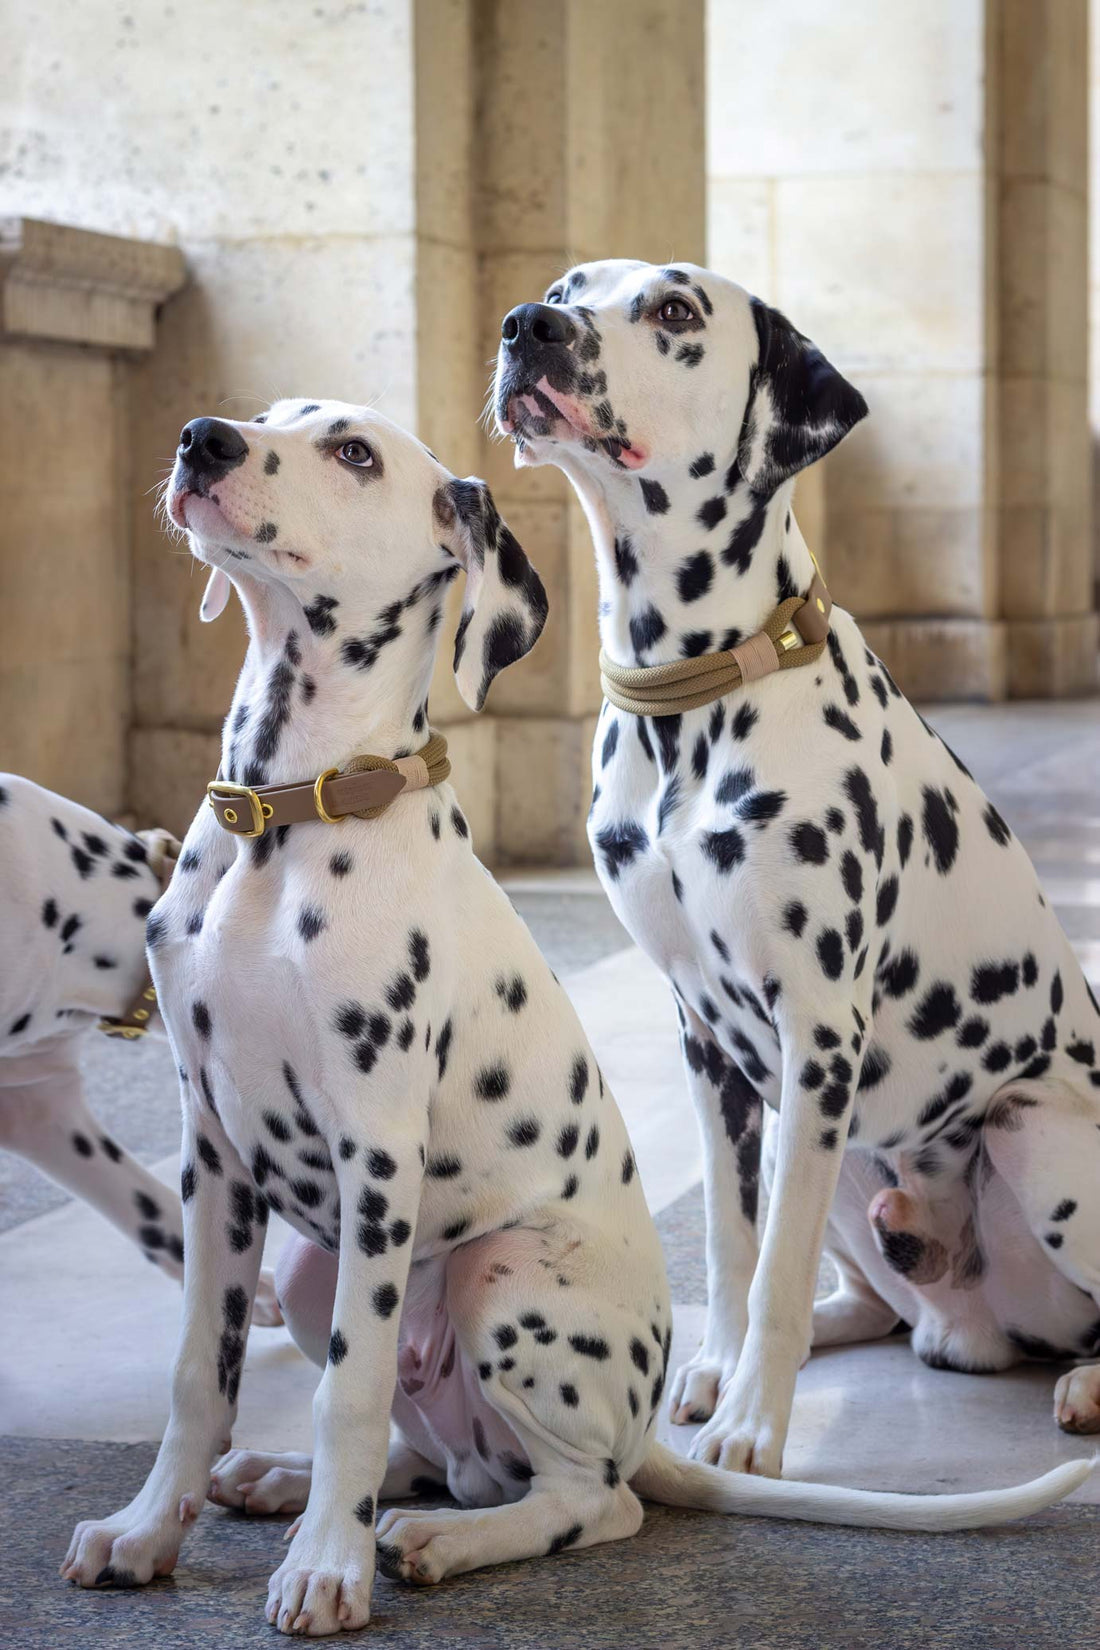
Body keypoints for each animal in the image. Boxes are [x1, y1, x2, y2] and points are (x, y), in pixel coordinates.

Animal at [58, 399, 1081, 1636]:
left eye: (353, 453)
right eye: (261, 418)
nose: (201, 438)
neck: (288, 818)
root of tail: (643, 1436)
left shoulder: (374, 1153)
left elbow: (347, 1386)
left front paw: (325, 1572)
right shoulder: (211, 1152)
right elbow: (196, 1380)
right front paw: (146, 1531)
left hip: (501, 1277)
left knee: (584, 1501)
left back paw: (432, 1539)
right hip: (310, 1264)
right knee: (439, 1456)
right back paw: (291, 1483)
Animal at [494, 264, 1100, 1478]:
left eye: (675, 312)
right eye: (566, 287)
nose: (526, 327)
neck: (695, 697)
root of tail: (979, 1323)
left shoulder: (818, 1029)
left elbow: (770, 1268)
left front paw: (751, 1427)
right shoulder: (713, 1042)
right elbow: (736, 1244)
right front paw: (717, 1374)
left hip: (1021, 1123)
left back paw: (1089, 1383)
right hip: (833, 1139)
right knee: (874, 1298)